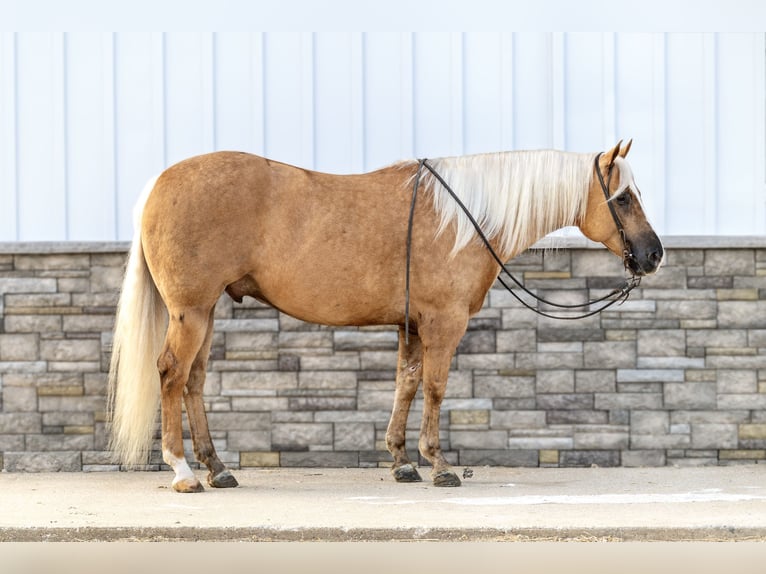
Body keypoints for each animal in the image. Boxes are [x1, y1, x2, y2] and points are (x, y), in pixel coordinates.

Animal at [108, 142, 664, 492]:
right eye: (622, 198)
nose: (653, 254)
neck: (465, 218)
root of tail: (159, 183)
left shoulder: (412, 325)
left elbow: (407, 382)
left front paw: (400, 462)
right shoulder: (443, 322)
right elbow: (435, 387)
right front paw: (438, 463)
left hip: (203, 313)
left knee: (194, 381)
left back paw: (217, 468)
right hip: (190, 312)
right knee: (171, 375)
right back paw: (182, 472)